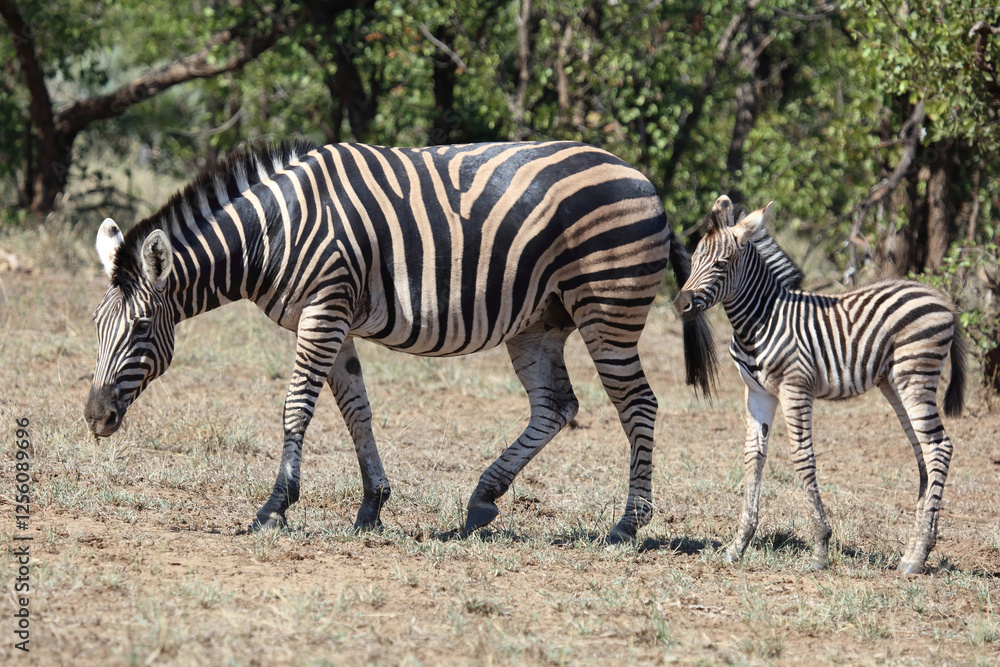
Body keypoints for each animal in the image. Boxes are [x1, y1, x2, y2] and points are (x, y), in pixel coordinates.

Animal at [84, 140, 717, 542]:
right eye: (96, 326)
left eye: (141, 329)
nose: (94, 416)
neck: (273, 231)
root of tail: (645, 181)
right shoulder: (332, 316)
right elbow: (355, 410)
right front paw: (372, 505)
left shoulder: (324, 307)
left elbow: (297, 406)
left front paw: (273, 508)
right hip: (539, 322)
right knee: (556, 406)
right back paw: (483, 499)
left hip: (607, 309)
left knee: (638, 405)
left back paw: (628, 524)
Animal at [673, 195, 965, 573]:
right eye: (693, 260)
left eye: (721, 265)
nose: (680, 304)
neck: (760, 319)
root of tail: (942, 298)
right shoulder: (757, 394)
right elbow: (754, 457)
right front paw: (739, 545)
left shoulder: (795, 388)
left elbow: (802, 457)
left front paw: (820, 548)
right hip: (895, 383)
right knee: (924, 453)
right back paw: (914, 552)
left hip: (916, 374)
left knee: (939, 447)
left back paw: (918, 556)